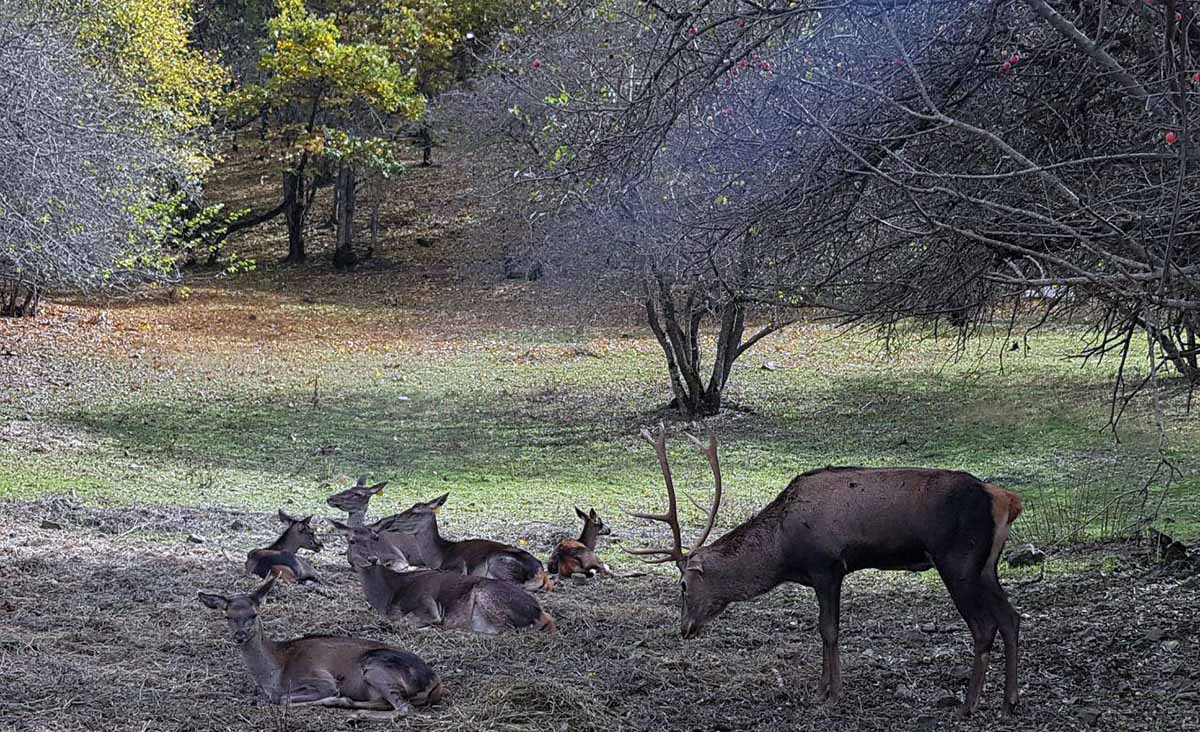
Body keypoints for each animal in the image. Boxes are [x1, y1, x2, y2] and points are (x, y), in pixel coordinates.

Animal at [196, 576, 446, 720]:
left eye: (254, 614)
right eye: (228, 616)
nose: (240, 636)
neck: (274, 673)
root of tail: (436, 683)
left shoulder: (320, 678)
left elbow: (282, 699)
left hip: (377, 667)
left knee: (404, 708)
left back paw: (354, 712)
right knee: (387, 703)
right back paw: (351, 706)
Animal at [328, 518, 552, 633]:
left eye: (376, 537)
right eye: (351, 540)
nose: (373, 559)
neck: (386, 597)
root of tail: (538, 612)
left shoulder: (427, 602)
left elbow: (407, 620)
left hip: (488, 590)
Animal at [374, 487, 552, 590]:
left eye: (415, 511)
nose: (391, 521)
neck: (439, 555)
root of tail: (540, 573)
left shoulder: (456, 565)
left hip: (499, 562)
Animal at [628, 424, 1022, 715]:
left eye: (682, 584)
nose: (685, 628)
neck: (784, 549)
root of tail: (1006, 500)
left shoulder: (827, 566)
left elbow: (828, 629)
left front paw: (833, 694)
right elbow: (823, 630)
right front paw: (821, 690)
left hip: (958, 560)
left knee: (984, 627)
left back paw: (968, 706)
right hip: (986, 566)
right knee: (1011, 618)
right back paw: (1009, 702)